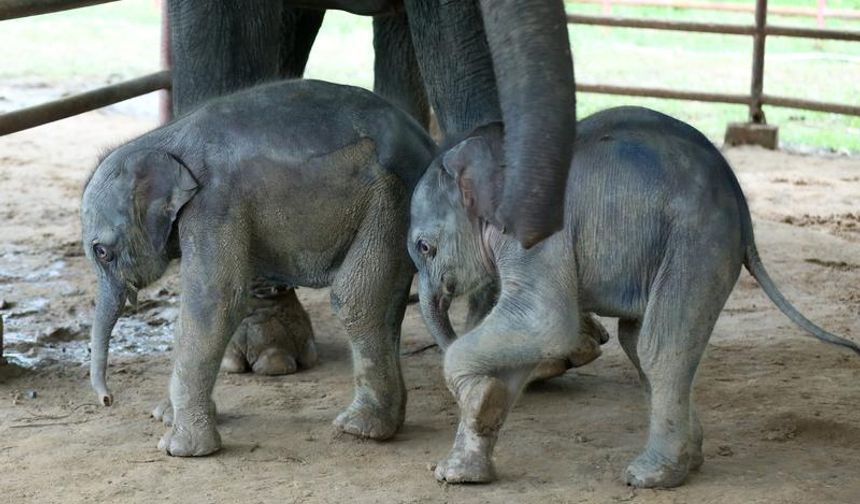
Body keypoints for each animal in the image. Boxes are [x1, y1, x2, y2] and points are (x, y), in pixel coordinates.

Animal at [81, 79, 436, 456]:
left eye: (102, 252)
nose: (107, 399)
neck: (160, 140)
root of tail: (428, 145)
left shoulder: (214, 204)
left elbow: (214, 302)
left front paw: (179, 448)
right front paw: (165, 416)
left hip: (392, 198)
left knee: (356, 299)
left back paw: (359, 429)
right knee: (387, 301)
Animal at [410, 107, 860, 488]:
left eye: (425, 247)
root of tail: (743, 208)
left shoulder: (537, 233)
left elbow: (542, 322)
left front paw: (478, 400)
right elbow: (527, 337)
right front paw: (460, 467)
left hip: (697, 241)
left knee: (662, 348)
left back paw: (651, 476)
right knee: (637, 341)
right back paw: (690, 458)